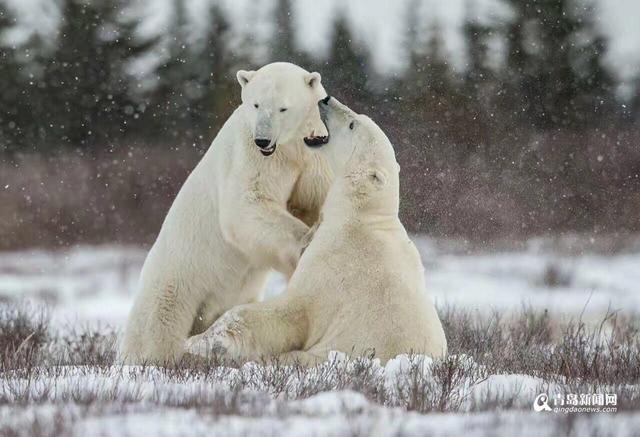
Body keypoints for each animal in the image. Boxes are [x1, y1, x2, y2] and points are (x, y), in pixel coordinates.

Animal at [118, 63, 336, 362]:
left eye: (283, 107)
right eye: (256, 104)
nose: (263, 140)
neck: (290, 148)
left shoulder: (313, 157)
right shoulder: (250, 155)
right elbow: (246, 203)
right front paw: (306, 242)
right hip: (177, 278)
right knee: (156, 326)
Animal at [184, 96, 444, 364]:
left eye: (352, 124)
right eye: (357, 119)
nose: (327, 99)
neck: (361, 216)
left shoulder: (333, 267)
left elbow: (291, 309)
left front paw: (201, 342)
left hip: (330, 352)